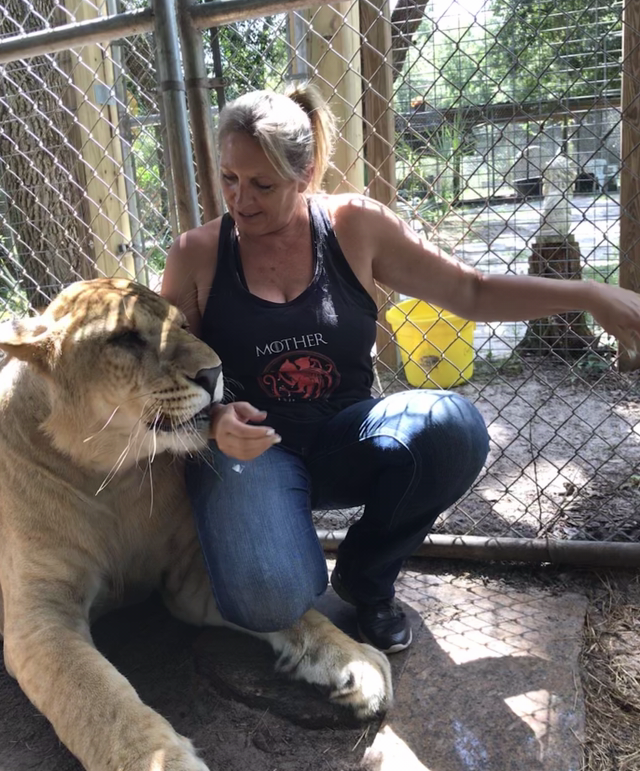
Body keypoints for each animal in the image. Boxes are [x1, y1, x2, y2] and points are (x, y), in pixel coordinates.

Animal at [0, 278, 392, 771]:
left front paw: (355, 661)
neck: (114, 477)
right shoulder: (40, 620)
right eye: (125, 338)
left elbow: (301, 616)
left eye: (184, 325)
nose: (214, 371)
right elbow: (96, 699)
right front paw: (161, 760)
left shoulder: (189, 585)